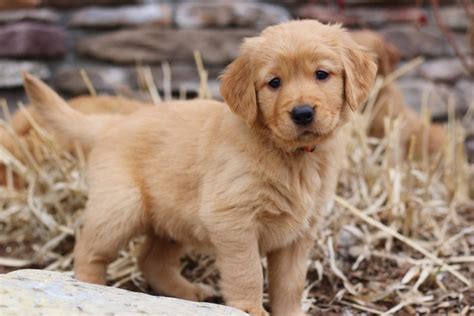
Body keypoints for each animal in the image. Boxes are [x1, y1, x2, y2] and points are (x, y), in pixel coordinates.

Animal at [23, 20, 378, 316]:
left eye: (322, 74)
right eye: (274, 82)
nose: (303, 113)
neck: (291, 155)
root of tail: (111, 124)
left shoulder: (300, 234)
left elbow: (290, 284)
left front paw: (289, 312)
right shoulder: (232, 220)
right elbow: (248, 272)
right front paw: (250, 308)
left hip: (172, 219)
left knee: (151, 260)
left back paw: (188, 293)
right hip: (121, 208)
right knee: (89, 251)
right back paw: (93, 287)